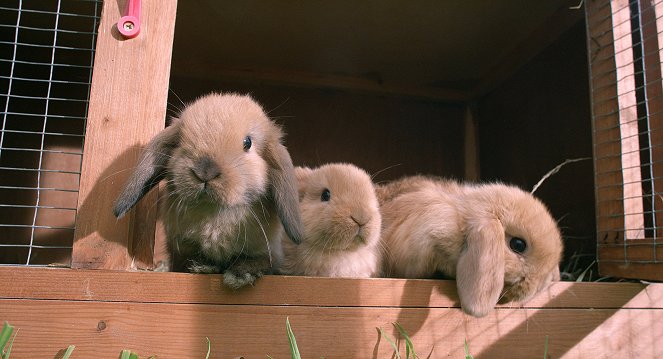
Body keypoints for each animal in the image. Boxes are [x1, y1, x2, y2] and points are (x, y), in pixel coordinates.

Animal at [114, 93, 304, 290]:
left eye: (248, 142)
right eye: (180, 140)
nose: (205, 171)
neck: (213, 213)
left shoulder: (267, 251)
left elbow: (261, 261)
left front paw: (240, 275)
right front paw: (202, 265)